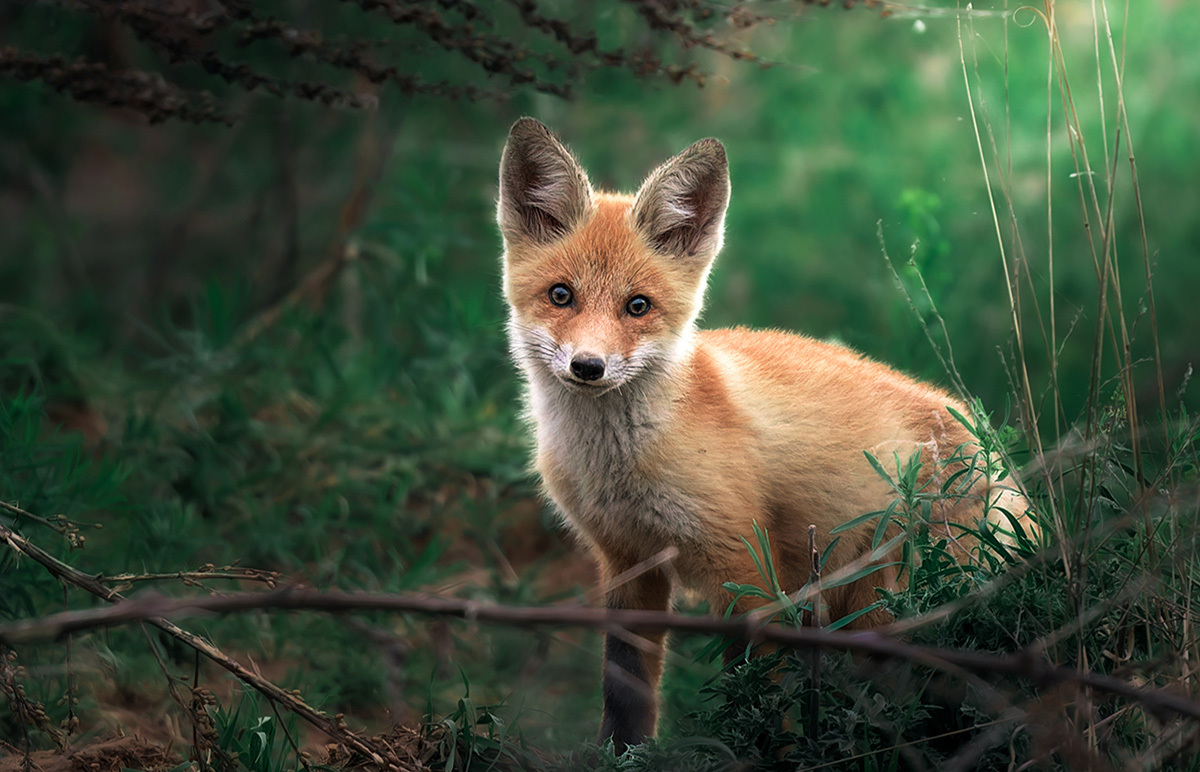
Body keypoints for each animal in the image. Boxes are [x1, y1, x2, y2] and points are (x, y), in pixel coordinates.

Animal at [494, 117, 1032, 753]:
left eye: (637, 306)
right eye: (561, 295)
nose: (588, 367)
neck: (621, 464)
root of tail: (992, 454)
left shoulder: (746, 568)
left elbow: (755, 701)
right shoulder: (627, 561)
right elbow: (625, 692)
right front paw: (620, 757)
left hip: (882, 611)